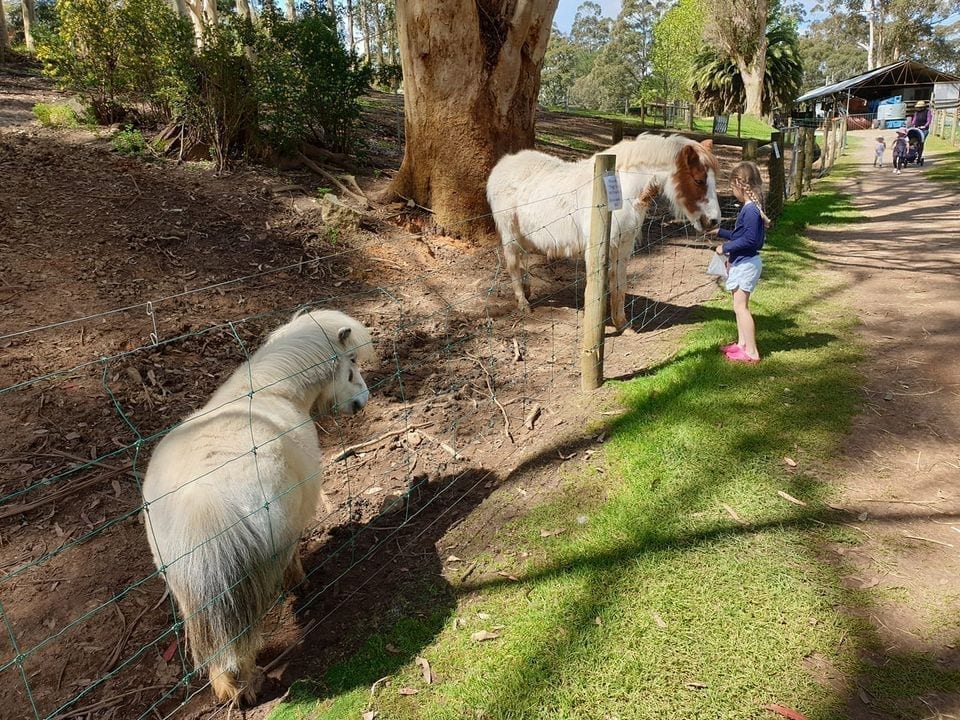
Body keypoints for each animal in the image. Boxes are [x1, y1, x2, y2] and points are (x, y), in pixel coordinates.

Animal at [141, 309, 374, 706]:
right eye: (351, 366)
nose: (363, 400)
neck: (275, 389)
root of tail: (202, 501)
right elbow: (294, 556)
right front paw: (299, 583)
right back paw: (248, 685)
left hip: (186, 589)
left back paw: (229, 688)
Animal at [487, 134, 721, 331]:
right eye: (699, 180)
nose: (714, 221)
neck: (623, 191)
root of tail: (502, 165)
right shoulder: (597, 248)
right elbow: (595, 291)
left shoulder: (623, 246)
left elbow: (619, 285)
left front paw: (622, 324)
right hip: (510, 234)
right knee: (513, 264)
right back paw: (523, 303)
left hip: (525, 235)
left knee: (523, 259)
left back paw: (527, 291)